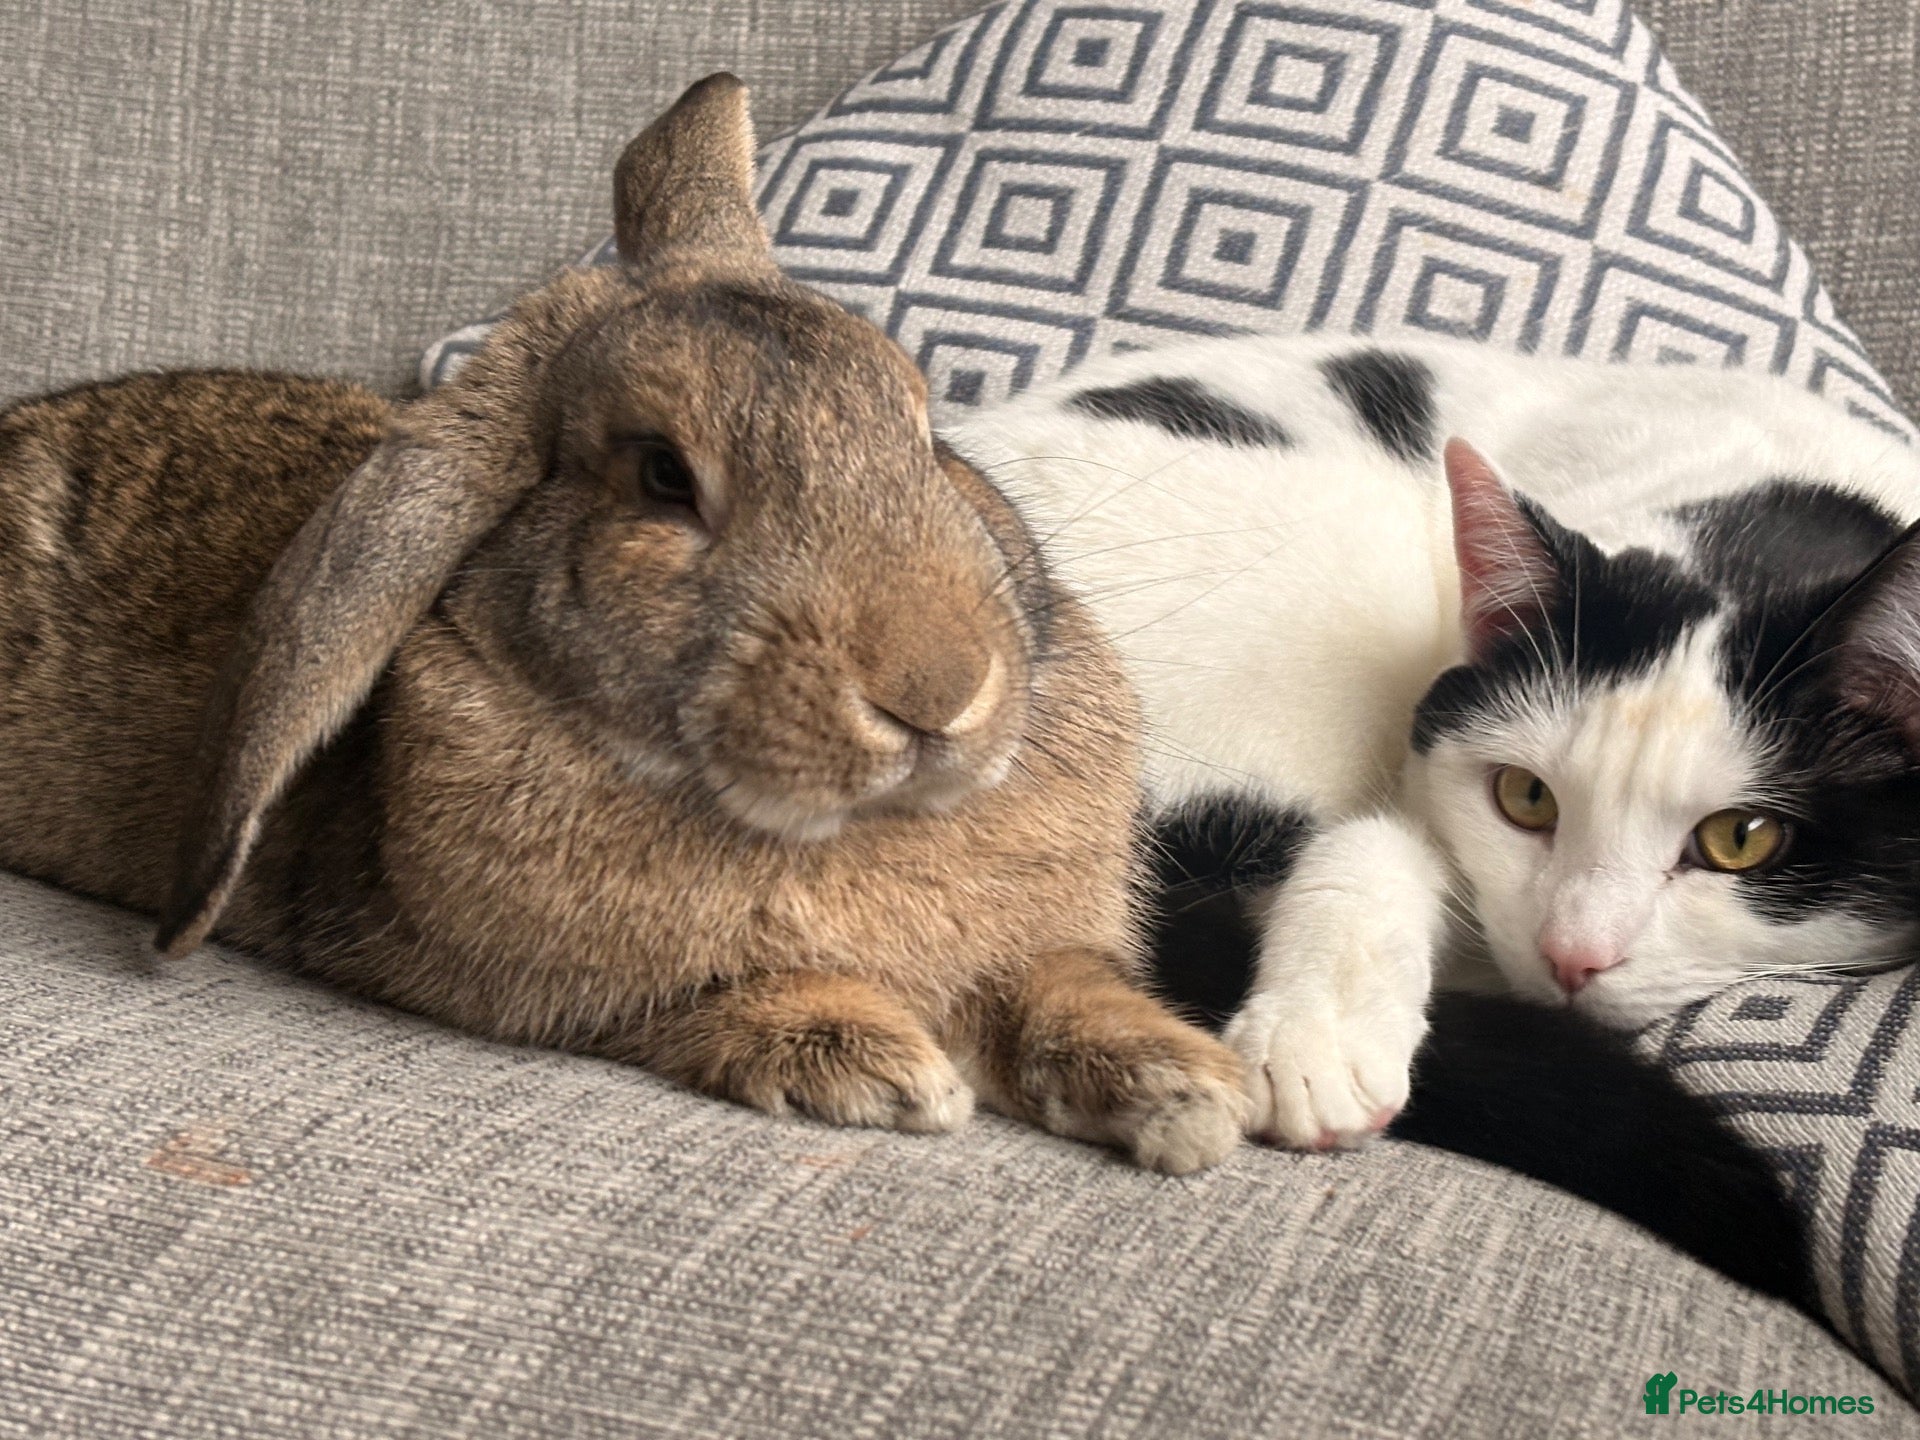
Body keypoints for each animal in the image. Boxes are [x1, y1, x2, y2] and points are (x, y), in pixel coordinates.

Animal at [0, 75, 1248, 1174]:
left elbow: (1061, 987)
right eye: (662, 476)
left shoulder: (1035, 951)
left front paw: (1187, 1093)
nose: (937, 691)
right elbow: (709, 999)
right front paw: (881, 1071)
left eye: (921, 427)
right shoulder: (538, 987)